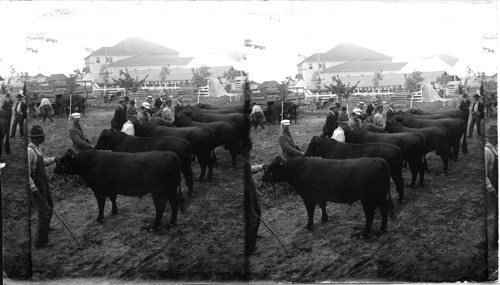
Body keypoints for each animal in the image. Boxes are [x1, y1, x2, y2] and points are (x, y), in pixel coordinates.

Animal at [53, 149, 186, 231]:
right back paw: (172, 221)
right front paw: (114, 211)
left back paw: (154, 227)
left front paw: (99, 219)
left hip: (158, 191)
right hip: (171, 189)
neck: (90, 162)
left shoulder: (98, 191)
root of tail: (169, 153)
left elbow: (101, 205)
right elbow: (113, 199)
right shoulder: (112, 189)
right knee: (174, 203)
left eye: (63, 160)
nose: (54, 170)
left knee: (160, 207)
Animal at [260, 155, 392, 237]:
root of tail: (378, 160)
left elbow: (310, 212)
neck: (301, 170)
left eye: (272, 167)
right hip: (381, 196)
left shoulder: (308, 197)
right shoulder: (320, 196)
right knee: (384, 210)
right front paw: (324, 218)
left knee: (370, 215)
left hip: (367, 199)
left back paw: (365, 234)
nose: (262, 177)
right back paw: (383, 228)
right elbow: (323, 206)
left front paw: (309, 226)